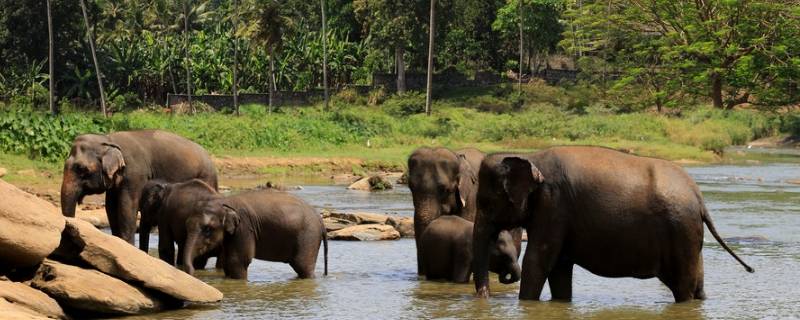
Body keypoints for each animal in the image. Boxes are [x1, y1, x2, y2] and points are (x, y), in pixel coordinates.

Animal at [59, 129, 217, 244]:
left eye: (81, 169)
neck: (109, 140)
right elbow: (111, 207)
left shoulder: (135, 173)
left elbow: (127, 206)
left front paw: (127, 244)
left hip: (207, 177)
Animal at [182, 190, 328, 280]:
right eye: (186, 225)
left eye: (207, 229)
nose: (194, 274)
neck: (224, 202)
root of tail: (320, 219)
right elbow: (228, 261)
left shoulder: (244, 227)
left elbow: (238, 260)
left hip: (308, 236)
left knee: (302, 266)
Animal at [472, 147, 752, 302]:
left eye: (485, 203)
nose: (484, 299)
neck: (531, 158)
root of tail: (698, 196)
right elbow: (560, 268)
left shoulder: (553, 205)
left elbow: (538, 261)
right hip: (690, 235)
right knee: (697, 285)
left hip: (681, 230)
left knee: (684, 287)